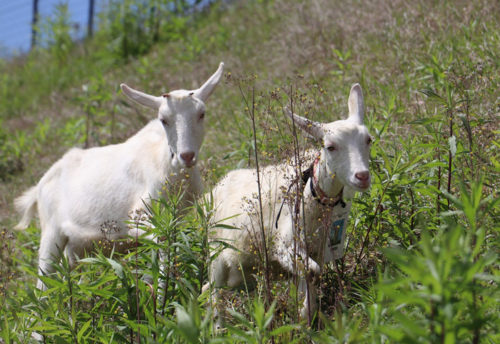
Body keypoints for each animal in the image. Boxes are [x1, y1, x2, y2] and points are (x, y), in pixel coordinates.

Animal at [14, 62, 225, 290]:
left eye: (202, 113)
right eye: (163, 120)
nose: (186, 156)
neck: (165, 162)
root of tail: (39, 187)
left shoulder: (174, 219)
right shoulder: (140, 218)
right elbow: (162, 250)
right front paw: (162, 293)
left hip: (76, 248)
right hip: (50, 234)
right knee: (43, 282)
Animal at [206, 84, 372, 322]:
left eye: (368, 140)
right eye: (330, 146)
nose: (362, 176)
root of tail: (216, 186)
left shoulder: (317, 249)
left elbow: (311, 275)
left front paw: (305, 315)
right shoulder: (284, 244)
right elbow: (312, 272)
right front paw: (302, 315)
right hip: (216, 252)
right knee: (213, 294)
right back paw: (217, 326)